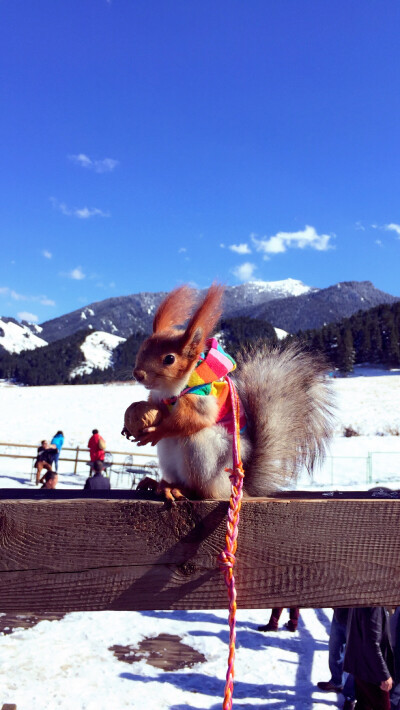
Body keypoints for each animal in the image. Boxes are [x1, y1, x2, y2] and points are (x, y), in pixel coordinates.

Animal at [124, 284, 334, 500]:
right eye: (142, 347)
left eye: (169, 359)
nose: (137, 374)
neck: (169, 390)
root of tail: (235, 484)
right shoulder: (157, 398)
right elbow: (155, 407)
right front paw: (129, 427)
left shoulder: (202, 400)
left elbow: (190, 419)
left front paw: (157, 431)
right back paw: (159, 483)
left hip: (203, 452)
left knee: (202, 489)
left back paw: (180, 489)